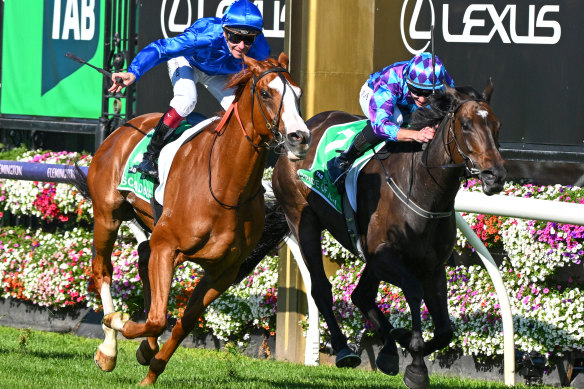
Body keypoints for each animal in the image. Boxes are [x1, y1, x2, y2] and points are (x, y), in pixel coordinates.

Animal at [69, 53, 310, 384]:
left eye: (298, 94)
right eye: (265, 93)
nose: (300, 138)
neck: (224, 186)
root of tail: (124, 126)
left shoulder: (222, 272)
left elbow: (183, 322)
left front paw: (151, 369)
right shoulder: (168, 248)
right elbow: (158, 318)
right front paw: (119, 324)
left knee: (143, 256)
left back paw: (144, 346)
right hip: (108, 215)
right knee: (102, 271)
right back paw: (108, 348)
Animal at [244, 82, 504, 388]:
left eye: (497, 125)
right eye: (465, 125)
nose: (495, 176)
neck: (423, 191)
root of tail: (300, 134)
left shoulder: (431, 266)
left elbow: (444, 332)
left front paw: (403, 340)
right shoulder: (385, 257)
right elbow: (413, 292)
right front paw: (416, 365)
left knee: (361, 295)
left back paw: (389, 349)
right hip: (301, 220)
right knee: (321, 289)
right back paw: (344, 350)